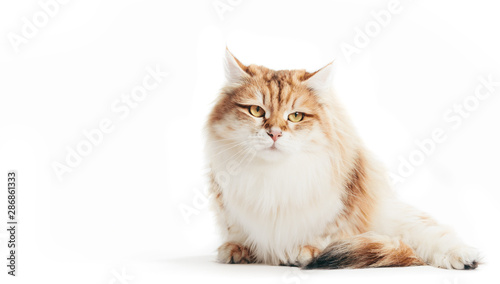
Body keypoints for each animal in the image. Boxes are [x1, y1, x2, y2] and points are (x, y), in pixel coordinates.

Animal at [205, 48, 482, 270]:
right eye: (256, 111)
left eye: (295, 116)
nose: (274, 133)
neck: (273, 174)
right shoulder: (227, 205)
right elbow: (238, 232)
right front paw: (238, 250)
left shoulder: (339, 208)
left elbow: (325, 235)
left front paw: (304, 252)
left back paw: (465, 257)